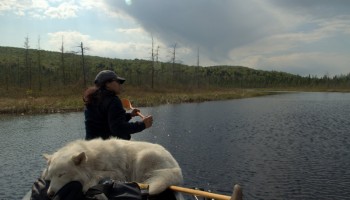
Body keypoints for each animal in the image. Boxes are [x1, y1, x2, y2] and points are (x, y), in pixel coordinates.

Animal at [42, 138, 183, 196]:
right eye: (51, 176)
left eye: (61, 175)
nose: (49, 194)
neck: (91, 160)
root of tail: (177, 168)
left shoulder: (117, 172)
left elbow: (97, 175)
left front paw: (88, 184)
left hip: (143, 157)